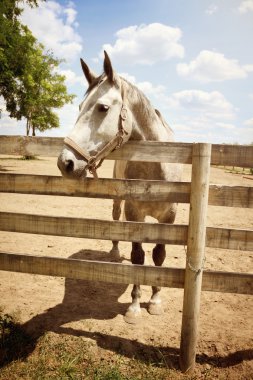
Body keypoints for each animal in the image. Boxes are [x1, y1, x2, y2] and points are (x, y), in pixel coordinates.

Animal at [57, 50, 181, 324]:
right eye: (79, 107)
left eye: (102, 107)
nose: (65, 162)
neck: (156, 167)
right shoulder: (134, 214)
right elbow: (138, 257)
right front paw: (134, 306)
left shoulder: (169, 217)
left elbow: (159, 255)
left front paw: (155, 301)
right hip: (118, 204)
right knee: (115, 221)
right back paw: (114, 253)